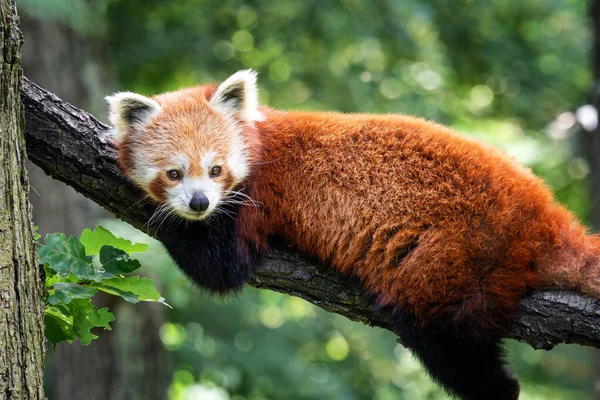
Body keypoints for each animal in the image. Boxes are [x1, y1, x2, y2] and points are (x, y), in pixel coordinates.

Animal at [105, 70, 600, 398]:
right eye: (174, 172)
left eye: (215, 170)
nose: (199, 203)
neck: (261, 143)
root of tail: (543, 216)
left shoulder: (255, 203)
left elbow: (221, 269)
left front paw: (163, 219)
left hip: (454, 262)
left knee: (451, 344)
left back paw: (494, 387)